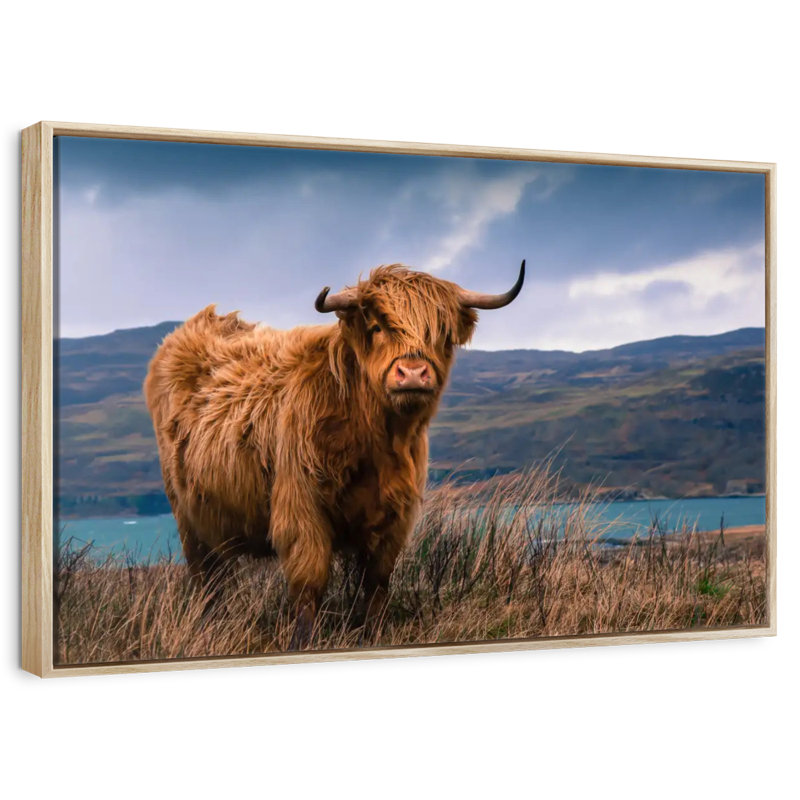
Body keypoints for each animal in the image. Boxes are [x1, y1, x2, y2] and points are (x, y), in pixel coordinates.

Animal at [144, 260, 525, 648]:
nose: (413, 373)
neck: (375, 441)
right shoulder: (301, 509)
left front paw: (373, 634)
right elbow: (309, 584)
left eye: (442, 334)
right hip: (188, 518)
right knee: (207, 581)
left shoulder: (394, 519)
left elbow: (376, 584)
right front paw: (301, 642)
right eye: (377, 327)